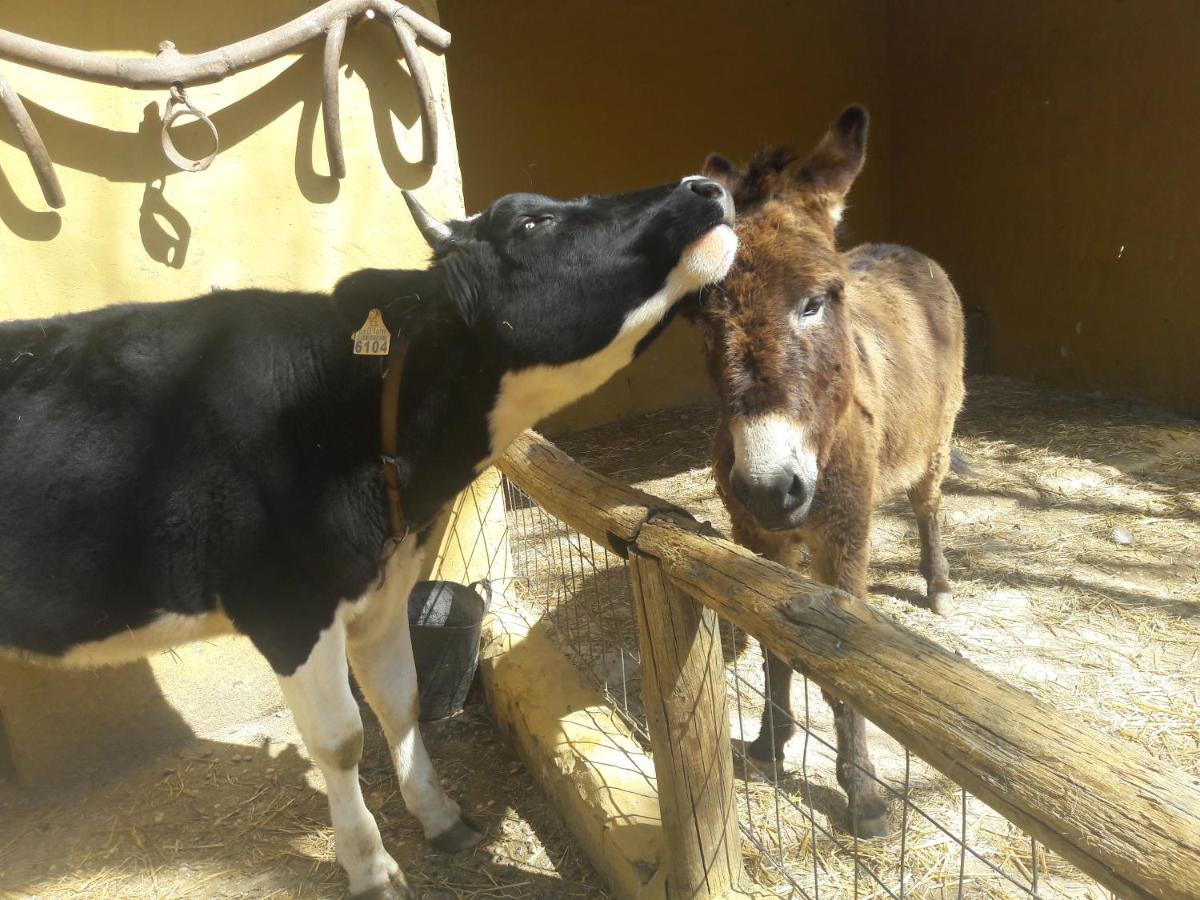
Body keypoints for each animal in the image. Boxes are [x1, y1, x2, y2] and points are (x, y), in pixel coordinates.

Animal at [0, 180, 734, 897]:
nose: (708, 186)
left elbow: (398, 702)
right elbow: (340, 739)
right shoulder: (288, 607)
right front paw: (371, 867)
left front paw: (439, 815)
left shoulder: (382, 591)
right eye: (531, 223)